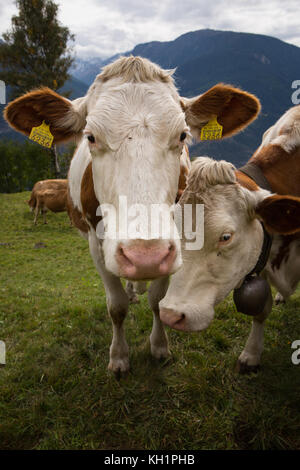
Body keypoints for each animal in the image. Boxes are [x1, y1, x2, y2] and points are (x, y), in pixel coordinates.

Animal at [3, 55, 260, 374]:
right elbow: (116, 306)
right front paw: (119, 357)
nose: (144, 256)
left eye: (182, 135)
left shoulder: (172, 244)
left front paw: (159, 346)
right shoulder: (96, 243)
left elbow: (158, 299)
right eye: (90, 137)